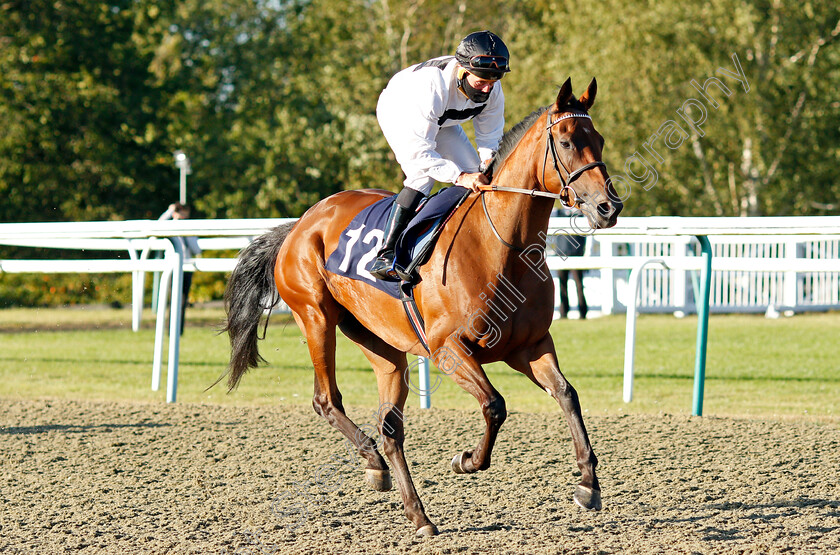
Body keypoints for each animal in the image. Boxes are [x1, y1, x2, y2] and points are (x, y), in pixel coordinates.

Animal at [223, 77, 624, 536]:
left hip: (380, 344)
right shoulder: (449, 349)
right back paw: (375, 463)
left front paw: (588, 484)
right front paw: (466, 460)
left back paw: (415, 511)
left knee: (390, 427)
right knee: (328, 400)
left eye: (599, 139)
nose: (609, 207)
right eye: (567, 141)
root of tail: (300, 224)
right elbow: (495, 406)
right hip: (316, 317)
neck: (500, 246)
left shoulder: (531, 345)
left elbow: (567, 394)